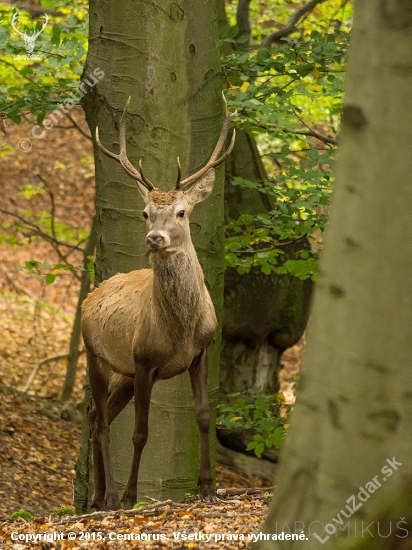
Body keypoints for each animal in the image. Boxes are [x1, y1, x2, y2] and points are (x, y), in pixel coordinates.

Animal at [81, 95, 235, 512]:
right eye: (146, 213)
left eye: (181, 212)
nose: (155, 239)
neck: (180, 330)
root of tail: (91, 295)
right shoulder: (144, 359)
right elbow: (140, 432)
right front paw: (132, 496)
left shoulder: (202, 351)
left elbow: (204, 415)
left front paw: (209, 487)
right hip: (97, 356)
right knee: (102, 420)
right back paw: (111, 497)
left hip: (123, 373)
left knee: (96, 414)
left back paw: (97, 497)